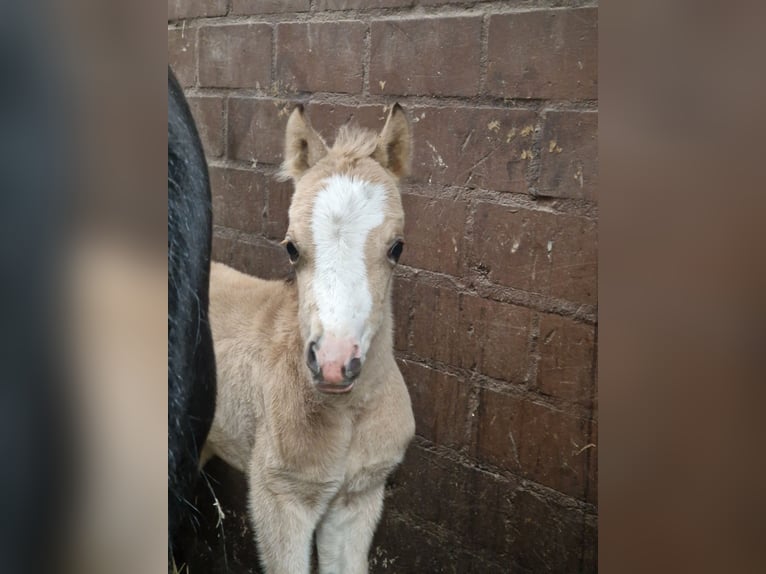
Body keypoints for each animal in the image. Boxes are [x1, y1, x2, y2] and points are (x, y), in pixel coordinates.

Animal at [203, 103, 416, 574]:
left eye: (396, 248)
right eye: (291, 248)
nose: (334, 364)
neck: (348, 415)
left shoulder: (357, 499)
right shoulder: (281, 499)